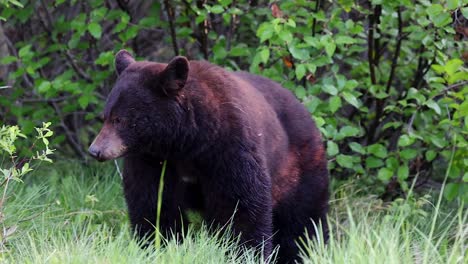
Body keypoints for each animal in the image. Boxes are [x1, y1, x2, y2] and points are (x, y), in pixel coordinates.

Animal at [88, 49, 330, 262]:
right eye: (105, 116)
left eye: (120, 120)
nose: (95, 150)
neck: (184, 141)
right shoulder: (151, 159)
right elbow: (153, 201)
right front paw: (158, 246)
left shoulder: (230, 148)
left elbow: (241, 204)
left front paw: (245, 253)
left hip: (299, 166)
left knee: (303, 220)